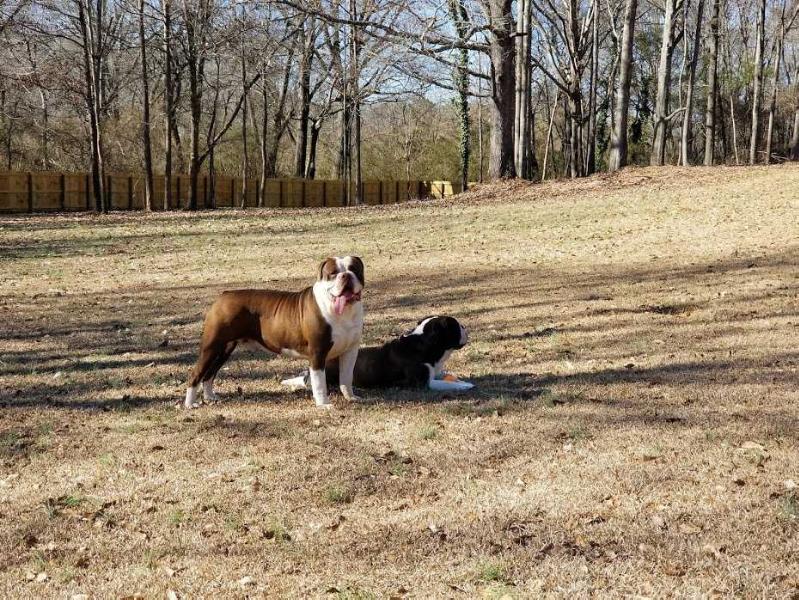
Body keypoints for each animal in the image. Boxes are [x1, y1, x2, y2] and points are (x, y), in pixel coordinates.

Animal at [282, 316, 472, 392]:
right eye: (456, 326)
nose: (465, 327)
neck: (425, 342)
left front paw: (460, 380)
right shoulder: (422, 383)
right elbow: (445, 384)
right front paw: (465, 386)